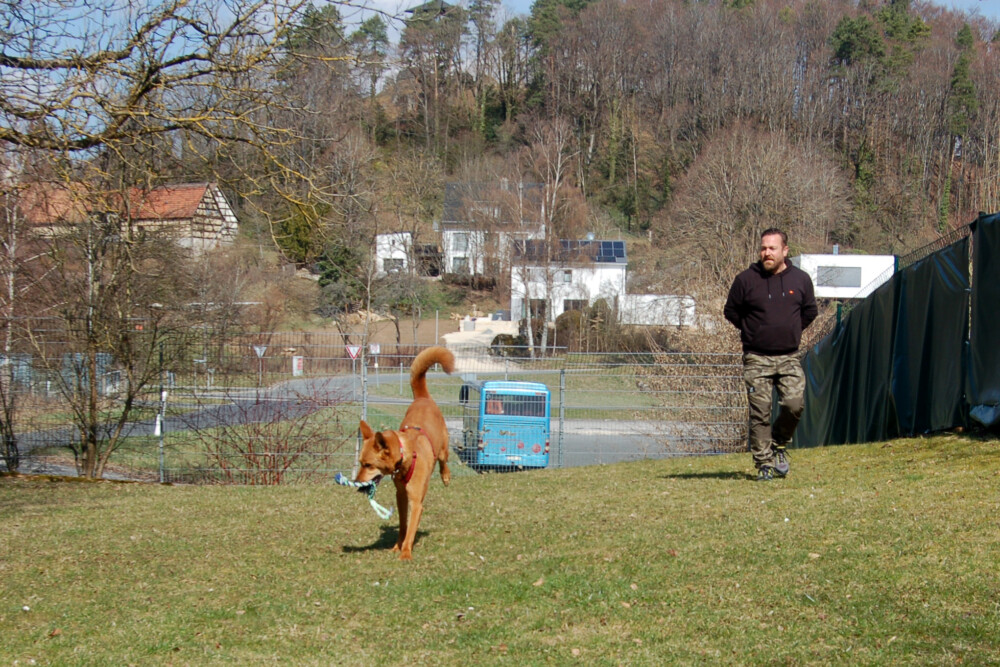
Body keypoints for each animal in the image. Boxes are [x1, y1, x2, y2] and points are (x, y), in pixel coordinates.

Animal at [356, 346, 455, 560]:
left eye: (368, 465)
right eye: (360, 463)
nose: (357, 483)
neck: (406, 455)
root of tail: (422, 398)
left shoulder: (416, 502)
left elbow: (410, 529)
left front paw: (406, 553)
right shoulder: (400, 496)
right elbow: (403, 525)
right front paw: (397, 546)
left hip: (443, 447)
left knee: (444, 461)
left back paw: (445, 476)